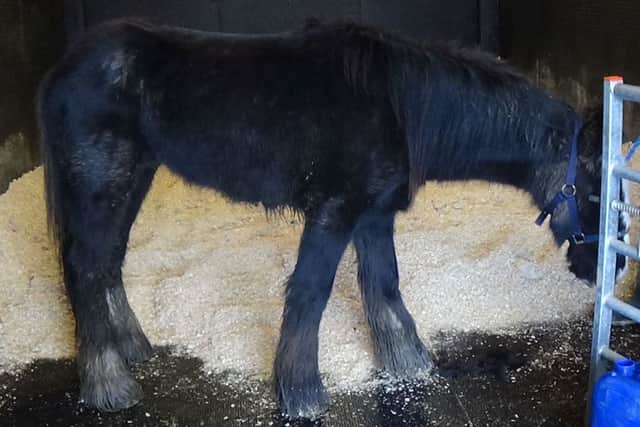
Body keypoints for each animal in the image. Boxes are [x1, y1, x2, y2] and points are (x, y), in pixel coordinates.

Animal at [37, 18, 629, 419]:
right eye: (594, 190)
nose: (612, 268)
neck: (400, 106)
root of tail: (64, 67)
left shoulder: (373, 217)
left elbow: (384, 286)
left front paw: (408, 362)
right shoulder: (334, 213)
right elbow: (310, 294)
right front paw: (300, 392)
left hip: (134, 177)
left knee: (107, 262)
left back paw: (132, 348)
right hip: (102, 183)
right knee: (85, 267)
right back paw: (108, 384)